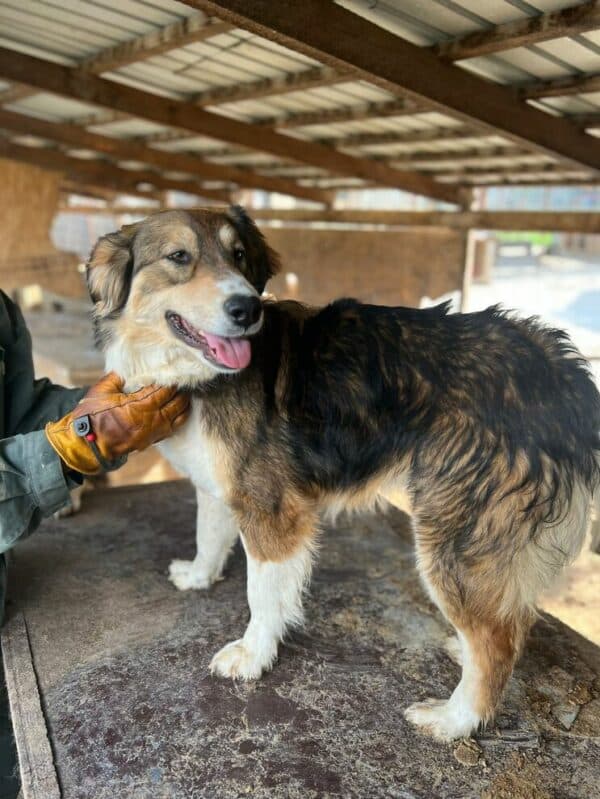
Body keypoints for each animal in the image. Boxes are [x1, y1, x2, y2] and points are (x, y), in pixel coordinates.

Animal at [85, 208, 600, 744]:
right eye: (179, 256)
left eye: (239, 255)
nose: (247, 309)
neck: (198, 376)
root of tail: (560, 367)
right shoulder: (224, 485)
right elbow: (208, 535)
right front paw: (199, 576)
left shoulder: (271, 507)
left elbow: (261, 593)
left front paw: (253, 656)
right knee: (509, 621)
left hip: (457, 533)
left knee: (497, 641)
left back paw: (454, 719)